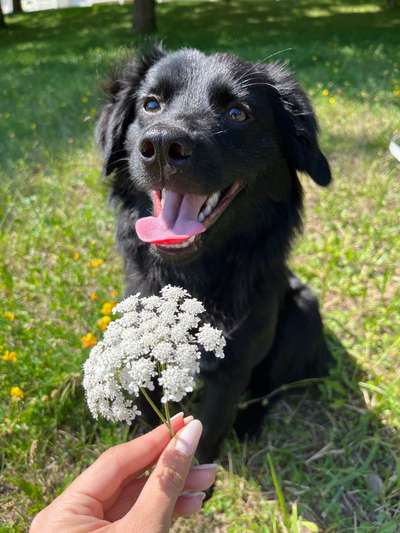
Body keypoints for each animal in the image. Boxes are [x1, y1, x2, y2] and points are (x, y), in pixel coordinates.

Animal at [95, 46, 332, 462]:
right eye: (151, 104)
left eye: (238, 112)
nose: (161, 146)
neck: (193, 278)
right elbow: (150, 414)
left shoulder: (234, 366)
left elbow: (208, 432)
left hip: (302, 313)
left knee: (267, 391)